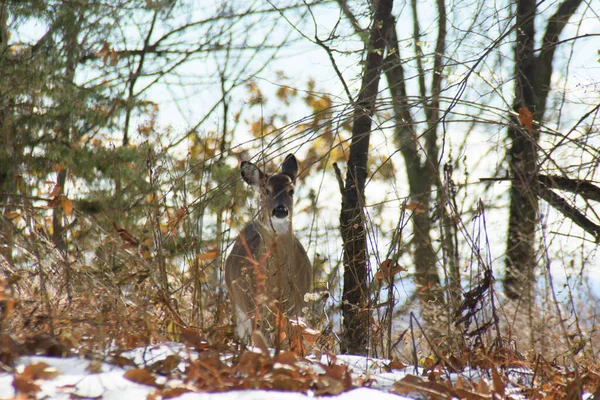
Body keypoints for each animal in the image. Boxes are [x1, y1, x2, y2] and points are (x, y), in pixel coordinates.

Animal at [223, 154, 312, 344]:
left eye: (291, 191)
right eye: (266, 190)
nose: (280, 210)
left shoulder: (298, 307)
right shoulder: (256, 309)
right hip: (238, 304)